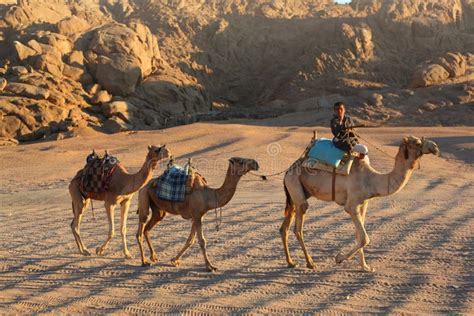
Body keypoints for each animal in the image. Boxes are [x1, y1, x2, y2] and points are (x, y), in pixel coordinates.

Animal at [282, 136, 440, 272]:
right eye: (417, 142)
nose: (435, 147)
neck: (371, 180)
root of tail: (288, 171)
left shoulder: (363, 204)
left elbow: (359, 235)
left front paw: (365, 266)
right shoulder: (351, 205)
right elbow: (365, 238)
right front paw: (339, 258)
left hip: (295, 193)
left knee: (285, 227)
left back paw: (291, 262)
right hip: (295, 185)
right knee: (298, 226)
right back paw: (310, 263)